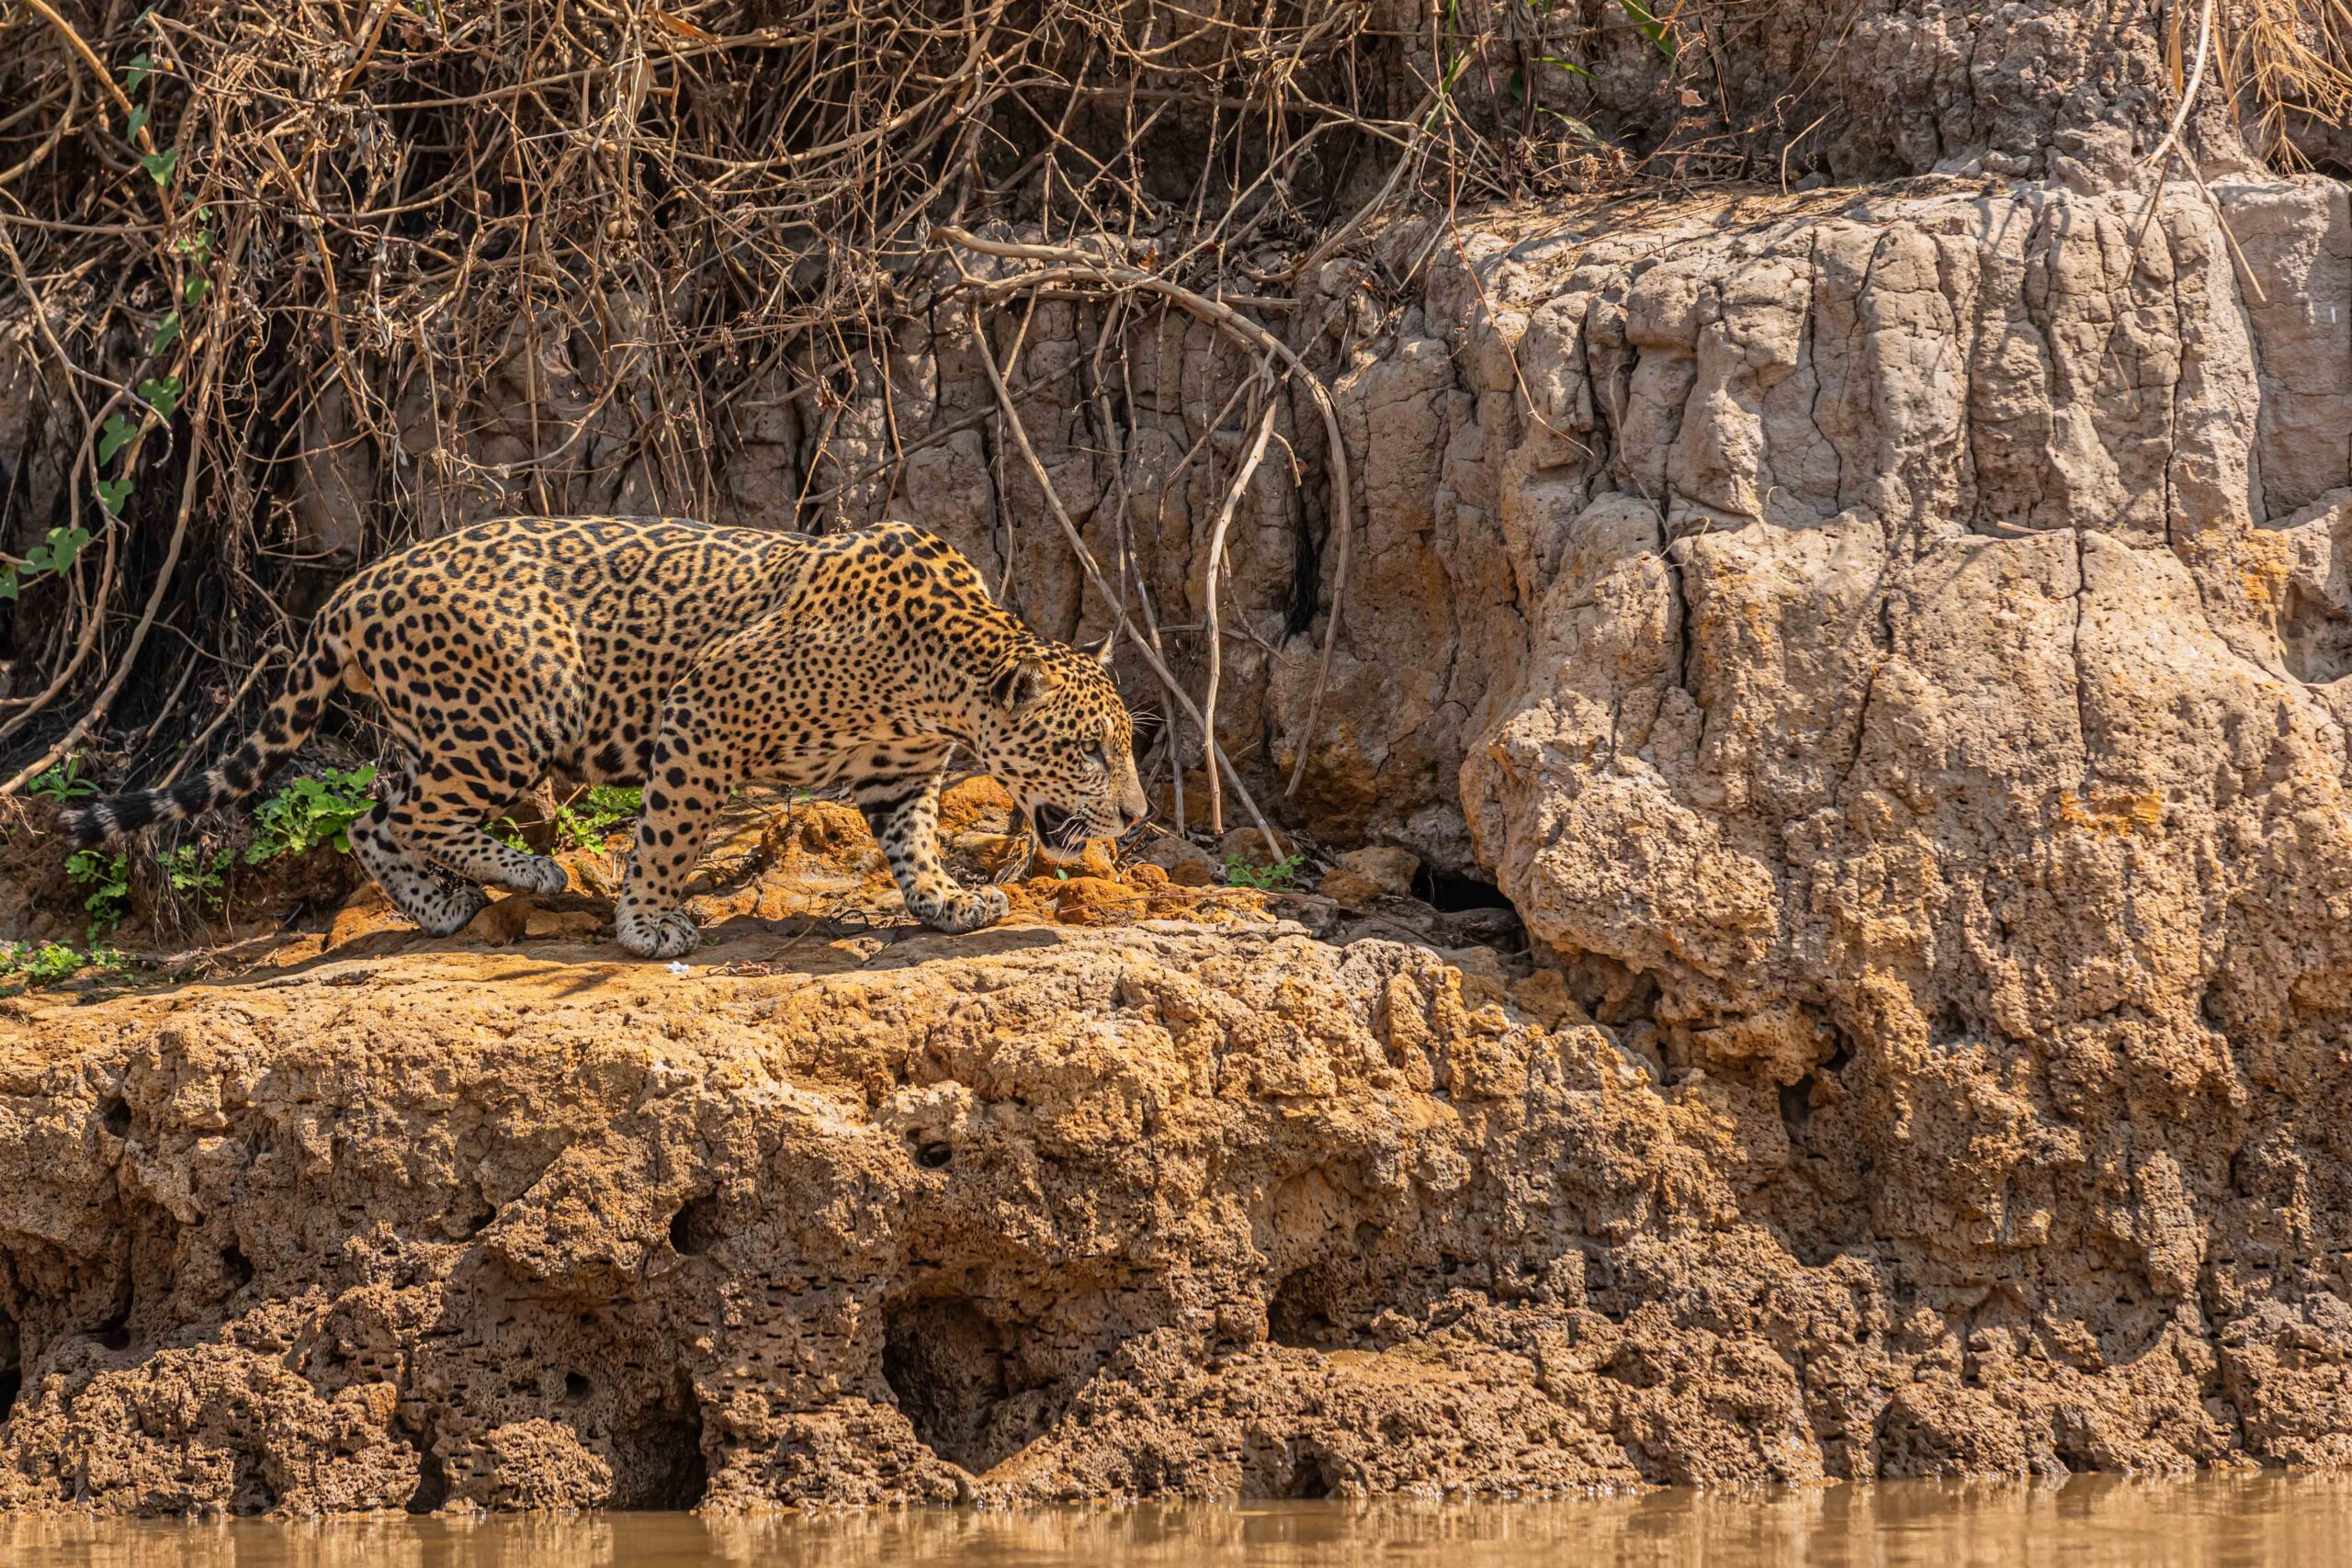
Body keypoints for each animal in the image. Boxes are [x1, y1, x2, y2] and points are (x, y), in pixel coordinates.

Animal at [62, 515, 1150, 958]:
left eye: (1124, 744)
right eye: (1091, 751)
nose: (1137, 813)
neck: (940, 680)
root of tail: (349, 594)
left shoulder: (902, 776)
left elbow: (914, 842)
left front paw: (946, 902)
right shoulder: (705, 707)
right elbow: (668, 830)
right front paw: (650, 924)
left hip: (432, 726)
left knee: (375, 821)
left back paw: (444, 907)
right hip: (516, 708)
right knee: (413, 817)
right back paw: (534, 875)